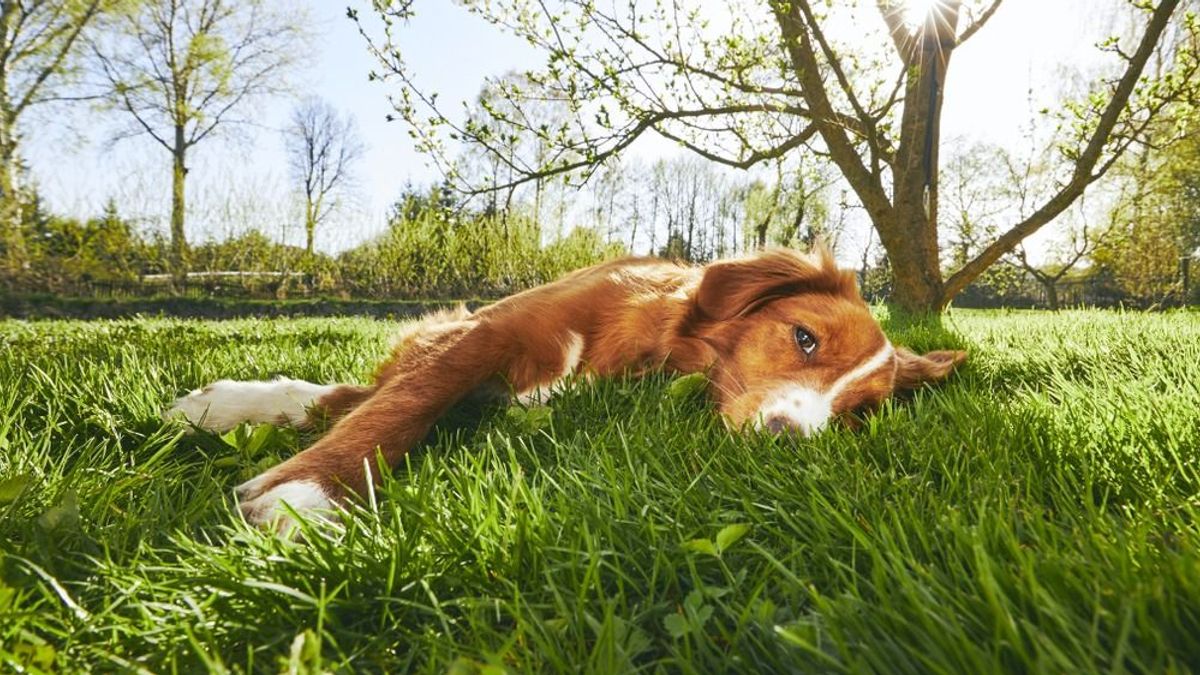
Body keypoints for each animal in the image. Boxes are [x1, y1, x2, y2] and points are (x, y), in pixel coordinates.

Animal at [166, 247, 964, 526]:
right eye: (804, 338)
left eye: (858, 415)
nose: (789, 441)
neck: (647, 337)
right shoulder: (483, 334)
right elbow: (402, 403)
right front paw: (311, 489)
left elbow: (381, 402)